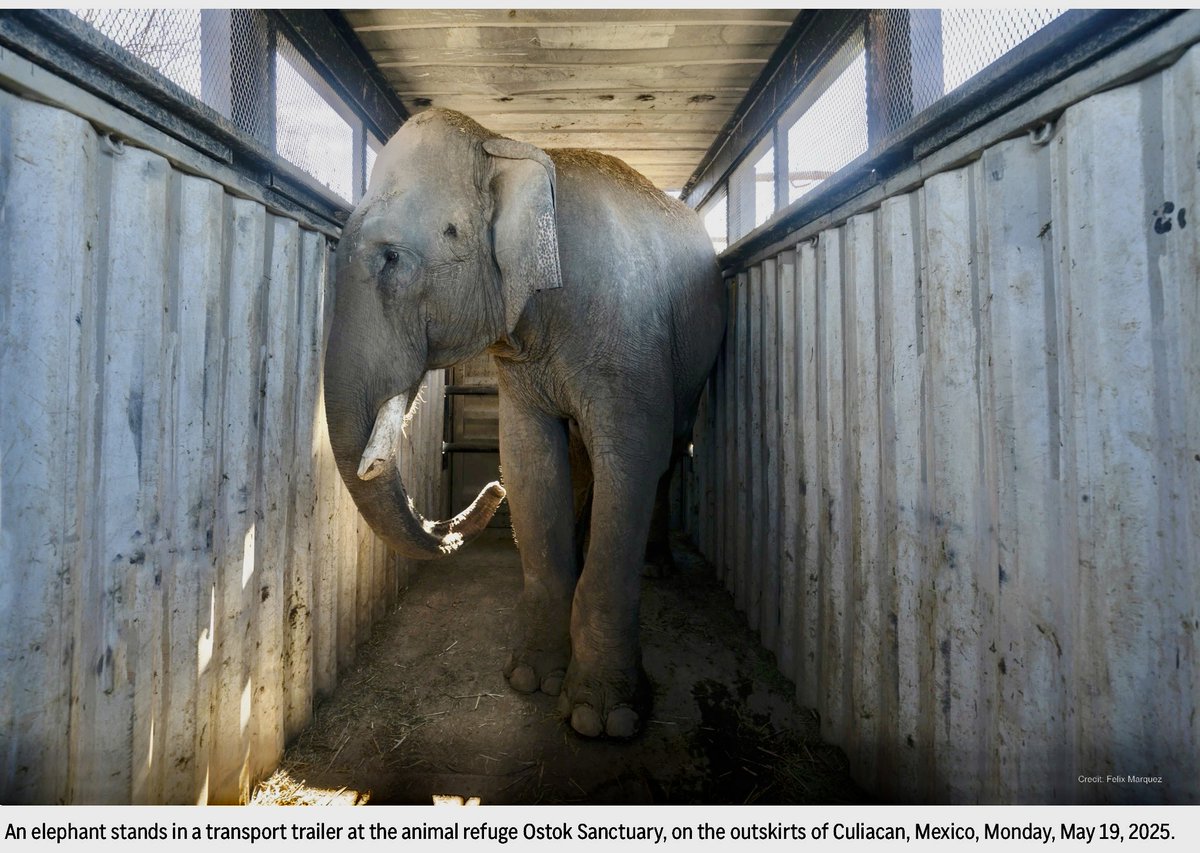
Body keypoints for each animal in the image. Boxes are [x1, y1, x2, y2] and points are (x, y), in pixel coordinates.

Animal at [323, 108, 726, 738]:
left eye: (391, 258)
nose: (487, 491)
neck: (512, 147)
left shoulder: (633, 345)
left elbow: (634, 459)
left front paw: (602, 717)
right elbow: (529, 462)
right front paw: (532, 680)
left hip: (697, 362)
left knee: (670, 454)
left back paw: (659, 568)